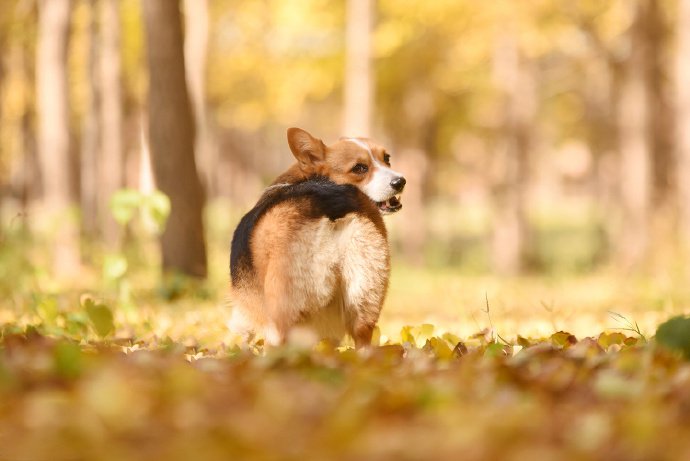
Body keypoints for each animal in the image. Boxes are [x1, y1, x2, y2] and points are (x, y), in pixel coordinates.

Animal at [228, 127, 406, 346]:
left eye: (386, 158)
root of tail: (331, 203)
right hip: (365, 298)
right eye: (360, 168)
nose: (400, 182)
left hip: (281, 312)